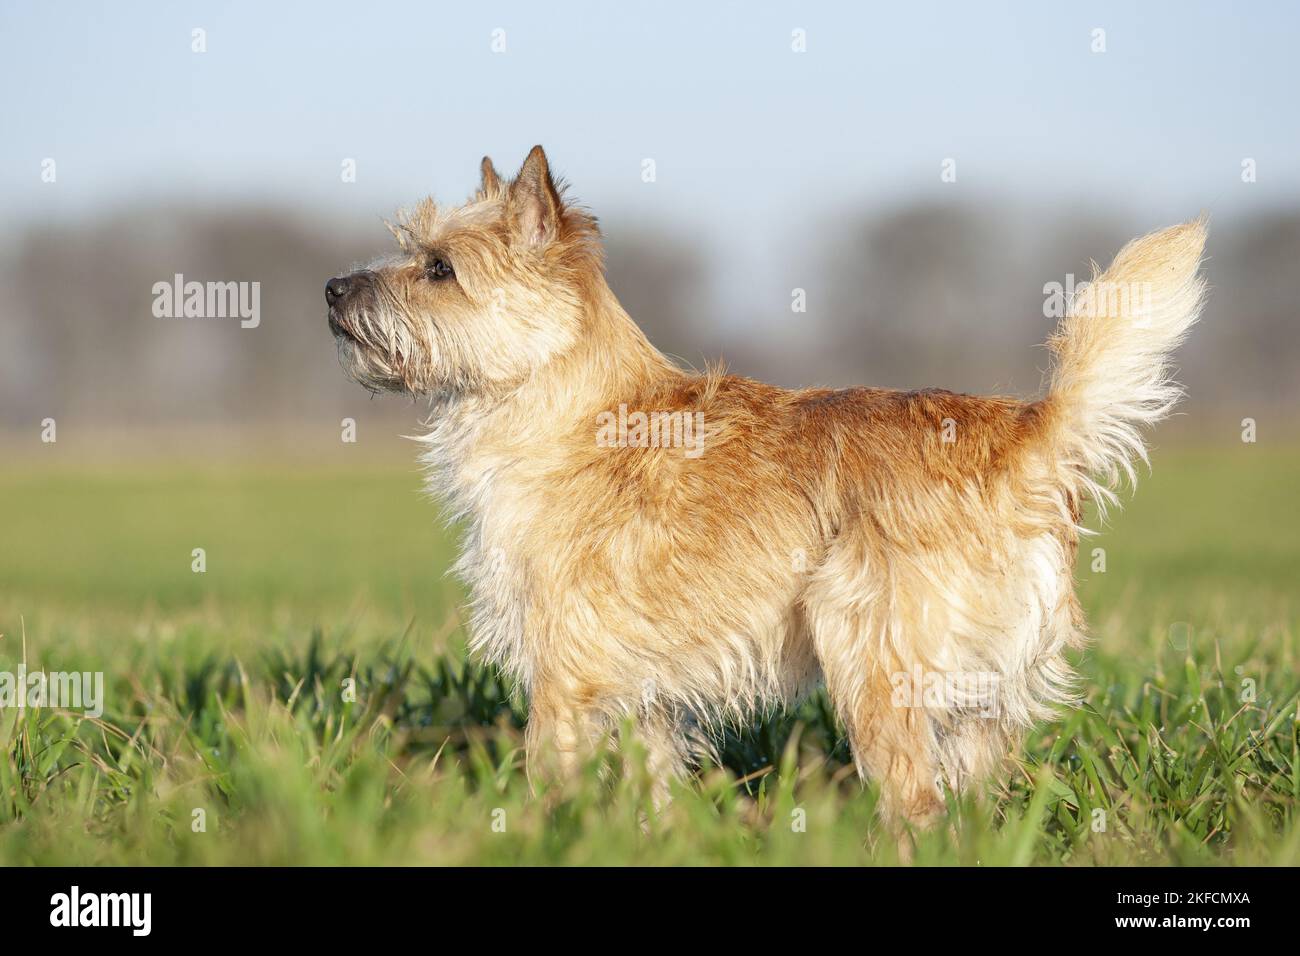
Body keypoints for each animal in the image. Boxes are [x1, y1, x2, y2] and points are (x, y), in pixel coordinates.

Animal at [327, 145, 1206, 842]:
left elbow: (552, 774)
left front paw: (540, 834)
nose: (334, 286)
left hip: (870, 663)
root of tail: (1032, 430)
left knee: (916, 804)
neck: (561, 405)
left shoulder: (564, 673)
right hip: (977, 702)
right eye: (407, 249)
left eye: (440, 269)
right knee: (970, 801)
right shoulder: (644, 694)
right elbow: (654, 783)